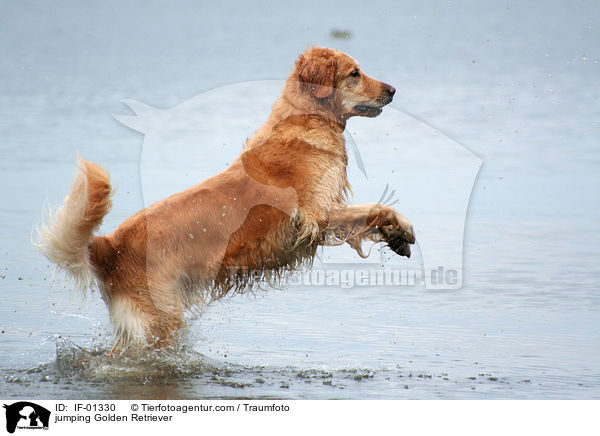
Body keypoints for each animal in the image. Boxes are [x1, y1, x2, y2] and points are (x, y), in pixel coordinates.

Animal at [36, 47, 412, 354]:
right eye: (355, 73)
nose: (393, 90)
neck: (306, 120)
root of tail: (108, 243)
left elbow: (374, 214)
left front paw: (397, 236)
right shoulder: (314, 216)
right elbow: (375, 209)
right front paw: (401, 230)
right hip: (160, 320)